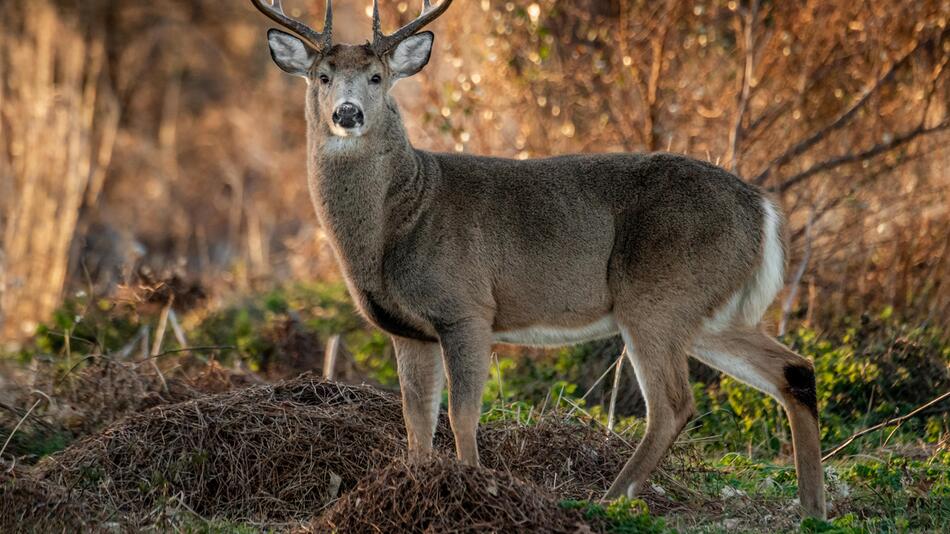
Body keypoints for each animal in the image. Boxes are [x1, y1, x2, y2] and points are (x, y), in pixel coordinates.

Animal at [251, 0, 824, 520]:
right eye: (322, 76)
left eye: (377, 77)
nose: (348, 113)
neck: (401, 218)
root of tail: (763, 208)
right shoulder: (408, 329)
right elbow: (416, 421)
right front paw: (411, 489)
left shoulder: (467, 307)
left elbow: (461, 415)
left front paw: (472, 490)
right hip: (709, 311)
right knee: (794, 369)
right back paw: (812, 509)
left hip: (658, 295)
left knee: (673, 404)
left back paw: (607, 501)